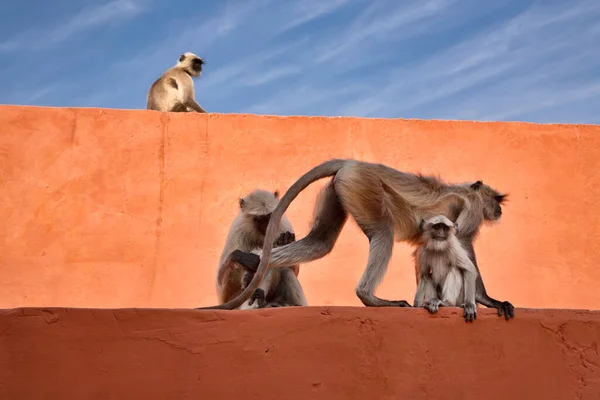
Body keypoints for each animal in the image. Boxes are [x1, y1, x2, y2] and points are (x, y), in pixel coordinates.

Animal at [205, 158, 510, 320]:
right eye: (496, 199)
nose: (499, 210)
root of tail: (352, 162)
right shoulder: (472, 210)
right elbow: (465, 248)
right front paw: (487, 300)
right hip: (363, 186)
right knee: (384, 232)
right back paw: (370, 298)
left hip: (340, 188)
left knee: (320, 241)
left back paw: (251, 261)